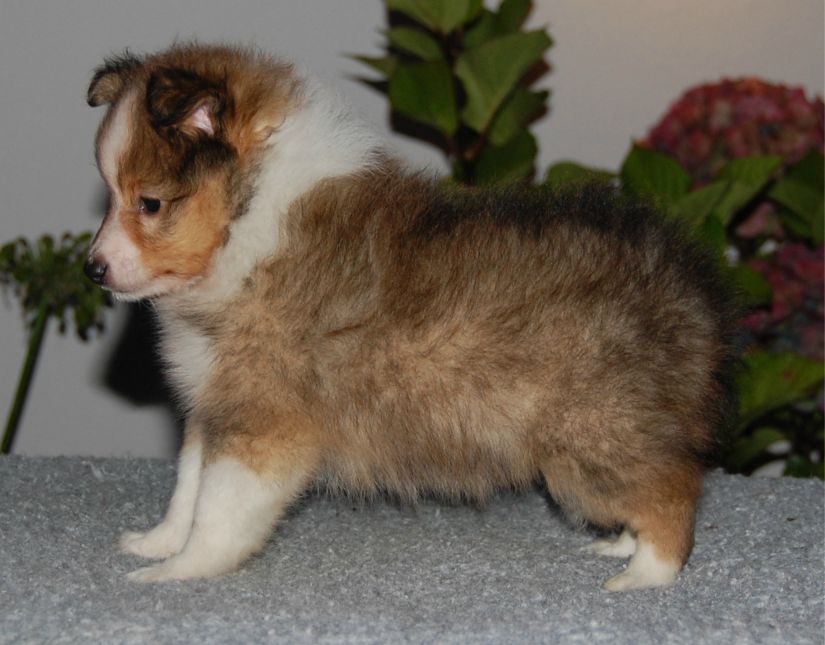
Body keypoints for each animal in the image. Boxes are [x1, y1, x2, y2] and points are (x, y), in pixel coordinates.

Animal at [85, 43, 738, 590]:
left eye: (151, 203)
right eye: (111, 195)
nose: (93, 269)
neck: (247, 220)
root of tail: (687, 284)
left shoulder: (261, 415)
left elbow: (218, 512)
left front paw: (177, 573)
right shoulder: (212, 402)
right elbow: (186, 489)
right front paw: (156, 544)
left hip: (591, 436)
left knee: (672, 491)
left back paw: (643, 575)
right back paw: (620, 547)